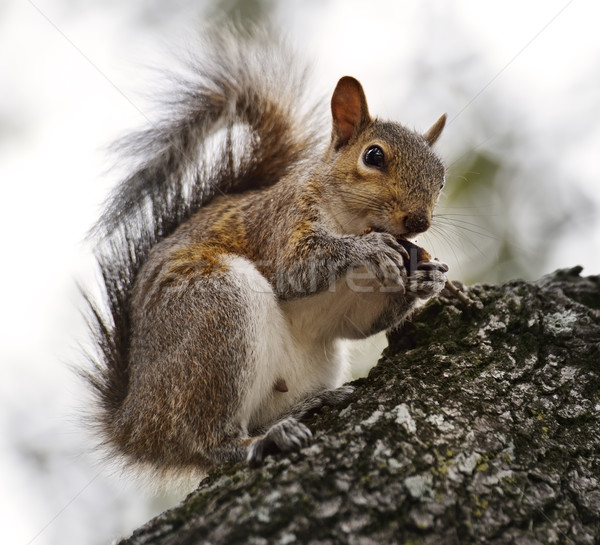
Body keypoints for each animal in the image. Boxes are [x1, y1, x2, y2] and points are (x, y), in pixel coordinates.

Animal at [84, 28, 450, 484]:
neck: (351, 220)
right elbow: (294, 270)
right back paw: (259, 441)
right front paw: (368, 249)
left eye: (441, 178)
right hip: (213, 315)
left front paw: (429, 278)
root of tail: (135, 424)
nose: (418, 220)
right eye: (373, 156)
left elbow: (355, 323)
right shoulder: (281, 223)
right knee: (206, 442)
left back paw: (305, 407)